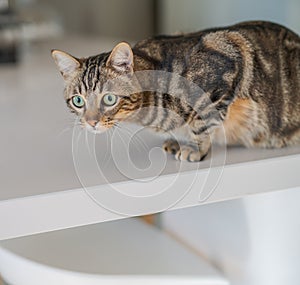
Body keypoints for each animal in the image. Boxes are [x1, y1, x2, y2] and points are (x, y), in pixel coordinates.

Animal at [51, 20, 300, 161]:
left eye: (109, 98)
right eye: (78, 101)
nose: (91, 122)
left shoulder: (226, 53)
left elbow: (201, 124)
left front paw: (197, 149)